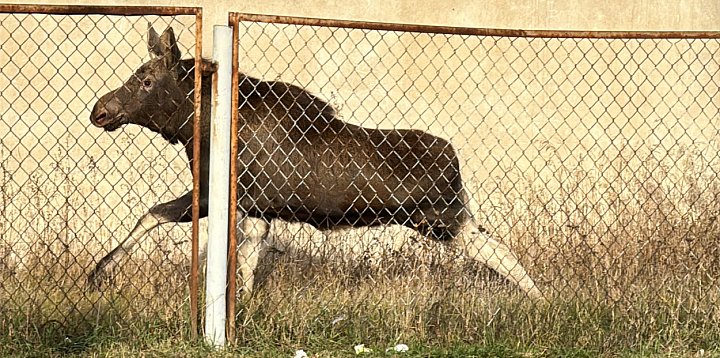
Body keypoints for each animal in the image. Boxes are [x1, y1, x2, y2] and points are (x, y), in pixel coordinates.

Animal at [87, 25, 544, 300]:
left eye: (146, 80)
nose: (100, 110)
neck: (193, 129)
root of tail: (455, 160)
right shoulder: (242, 203)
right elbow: (163, 219)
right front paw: (98, 272)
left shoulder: (237, 198)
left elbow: (230, 255)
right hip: (442, 217)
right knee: (491, 246)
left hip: (440, 215)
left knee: (496, 249)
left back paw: (539, 298)